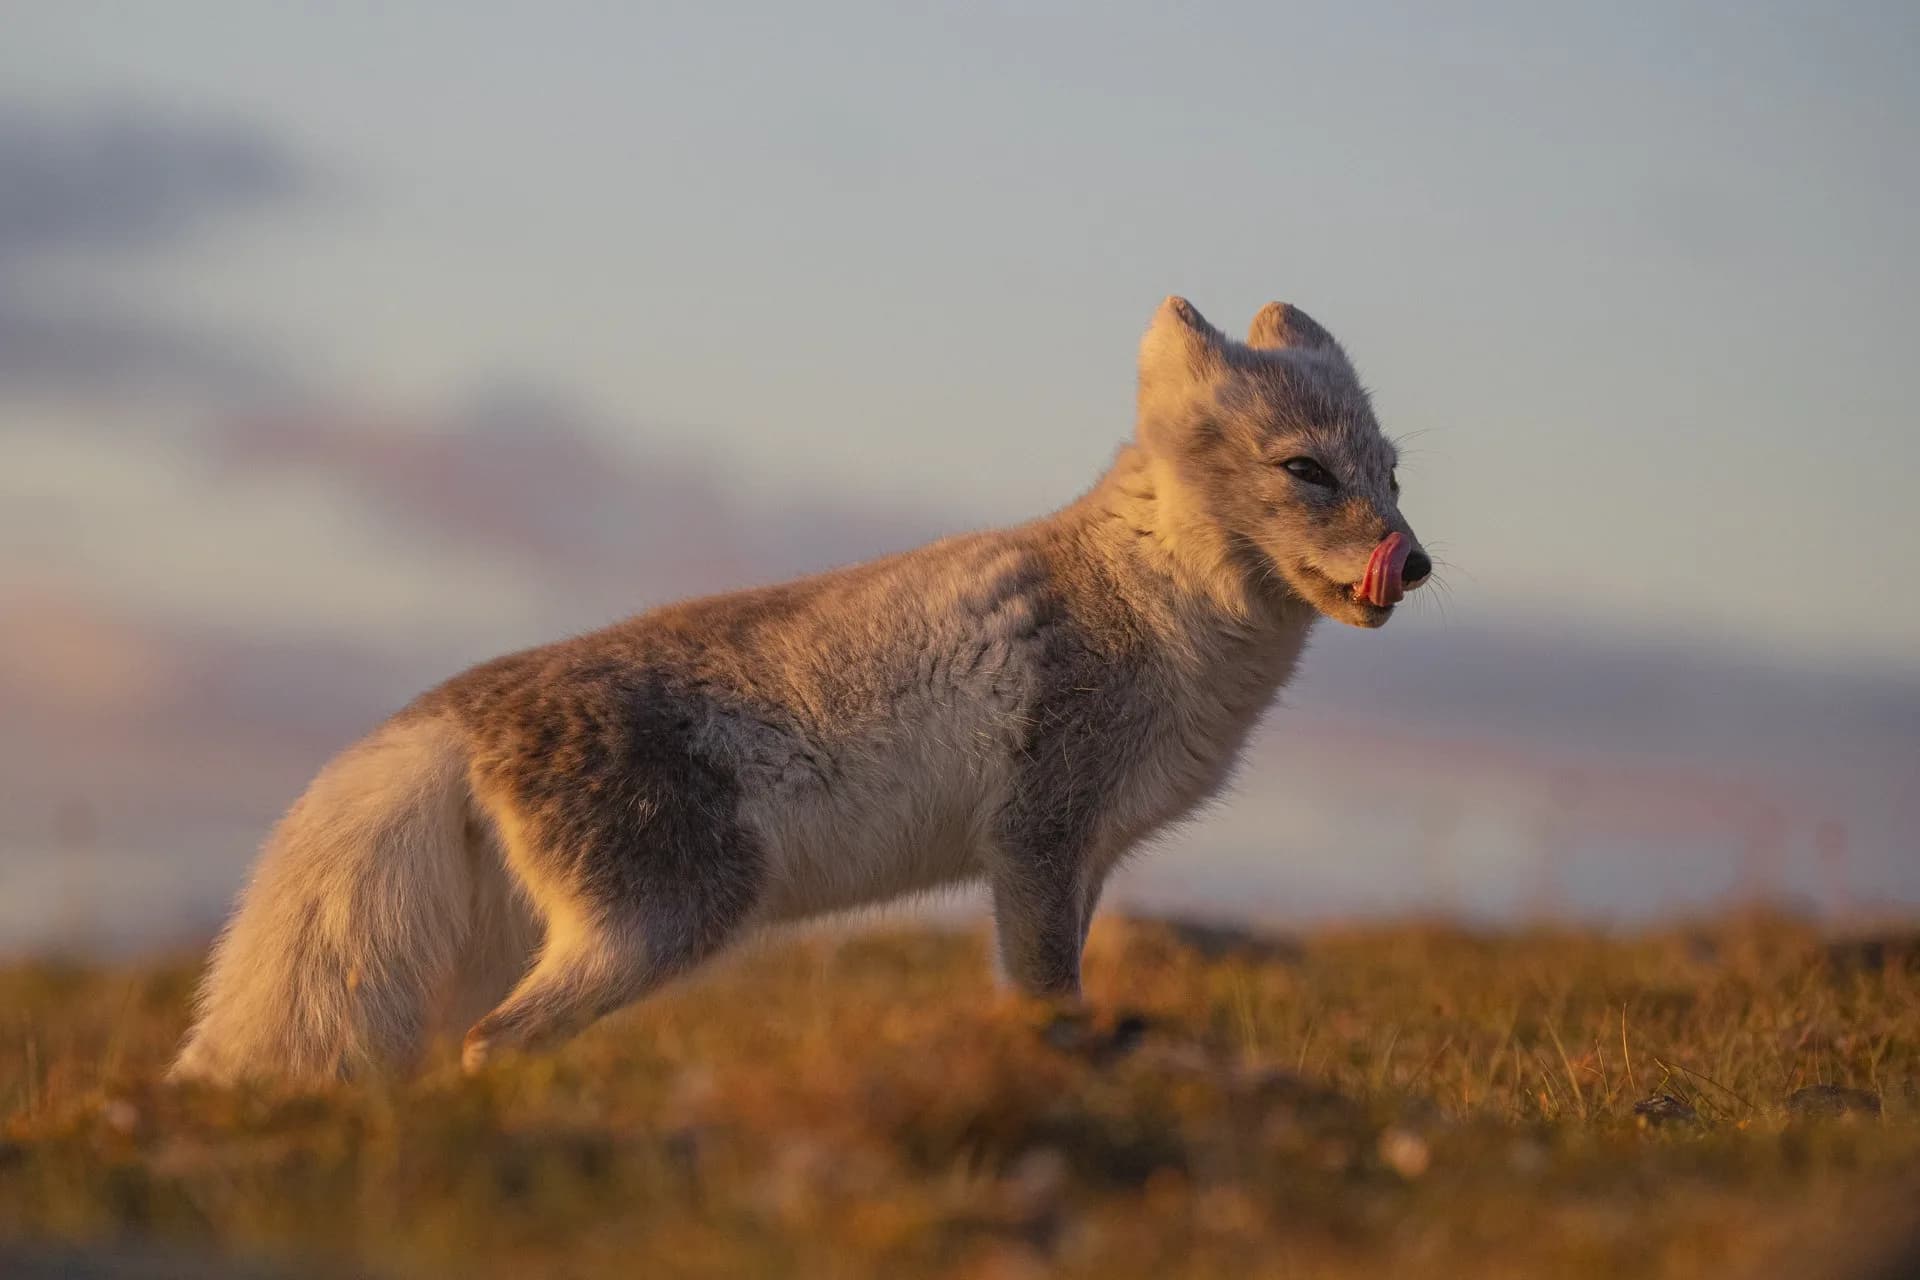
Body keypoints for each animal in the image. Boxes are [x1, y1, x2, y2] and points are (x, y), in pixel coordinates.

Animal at [171, 295, 1431, 1085]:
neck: (1154, 604)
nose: (1414, 562)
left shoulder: (1080, 858)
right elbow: (1046, 999)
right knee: (496, 1039)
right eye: (1305, 470)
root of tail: (449, 707)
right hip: (664, 922)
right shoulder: (1037, 837)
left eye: (1392, 474)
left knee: (462, 1042)